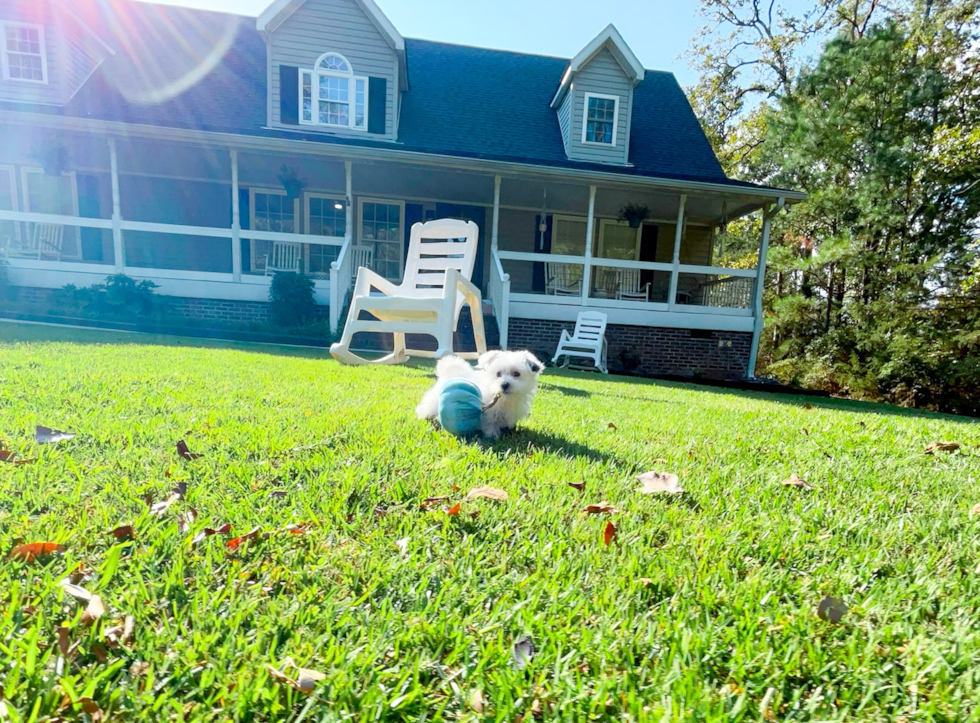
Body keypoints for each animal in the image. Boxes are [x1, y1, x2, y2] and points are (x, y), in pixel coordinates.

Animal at [418, 350, 548, 438]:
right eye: (498, 374)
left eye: (517, 374)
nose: (504, 384)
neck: (505, 399)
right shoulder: (488, 411)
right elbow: (489, 422)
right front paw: (492, 434)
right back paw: (425, 415)